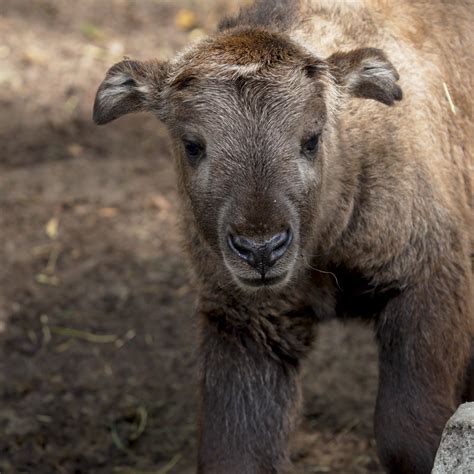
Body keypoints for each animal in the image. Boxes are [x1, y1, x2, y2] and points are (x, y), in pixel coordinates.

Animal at [93, 0, 474, 472]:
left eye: (311, 139)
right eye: (192, 145)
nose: (260, 250)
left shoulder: (425, 281)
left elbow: (409, 435)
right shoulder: (246, 321)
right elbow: (236, 455)